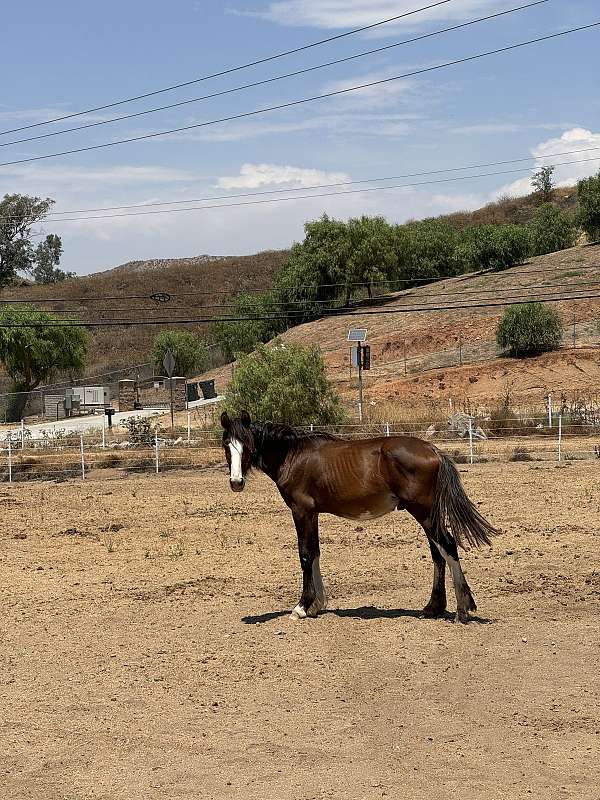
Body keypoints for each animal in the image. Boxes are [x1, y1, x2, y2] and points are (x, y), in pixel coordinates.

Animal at [220, 412, 496, 624]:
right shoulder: (313, 514)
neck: (293, 455)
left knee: (447, 546)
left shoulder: (301, 511)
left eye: (247, 444)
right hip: (427, 514)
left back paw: (462, 609)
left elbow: (305, 554)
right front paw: (318, 604)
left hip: (424, 512)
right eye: (226, 445)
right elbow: (316, 551)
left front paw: (302, 607)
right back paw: (433, 607)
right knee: (438, 554)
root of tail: (433, 450)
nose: (236, 482)